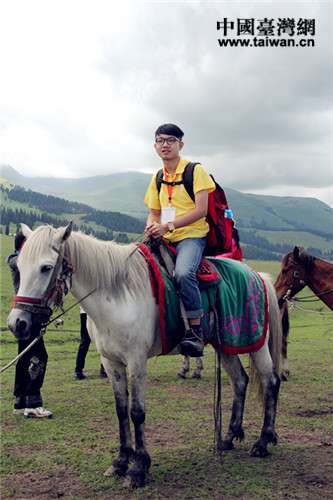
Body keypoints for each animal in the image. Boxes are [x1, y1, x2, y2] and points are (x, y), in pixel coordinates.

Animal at [7, 224, 280, 488]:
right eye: (18, 267)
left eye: (46, 267)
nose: (17, 324)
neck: (116, 296)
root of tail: (258, 276)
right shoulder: (111, 363)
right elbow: (121, 410)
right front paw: (120, 462)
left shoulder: (136, 361)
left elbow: (137, 412)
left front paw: (138, 468)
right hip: (225, 346)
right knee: (240, 381)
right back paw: (229, 437)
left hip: (255, 343)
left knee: (271, 382)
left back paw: (263, 442)